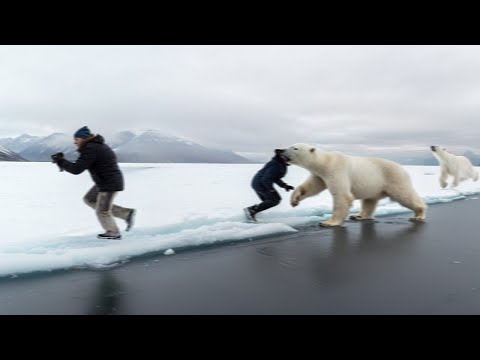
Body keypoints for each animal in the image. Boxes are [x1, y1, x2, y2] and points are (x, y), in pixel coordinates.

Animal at [278, 144, 428, 226]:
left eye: (295, 148)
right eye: (290, 145)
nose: (280, 150)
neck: (325, 162)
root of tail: (403, 168)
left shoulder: (336, 170)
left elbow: (342, 195)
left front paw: (328, 222)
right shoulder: (320, 175)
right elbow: (311, 187)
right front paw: (294, 200)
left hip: (393, 178)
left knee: (404, 195)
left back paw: (418, 214)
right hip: (374, 185)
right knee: (369, 201)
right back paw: (358, 215)